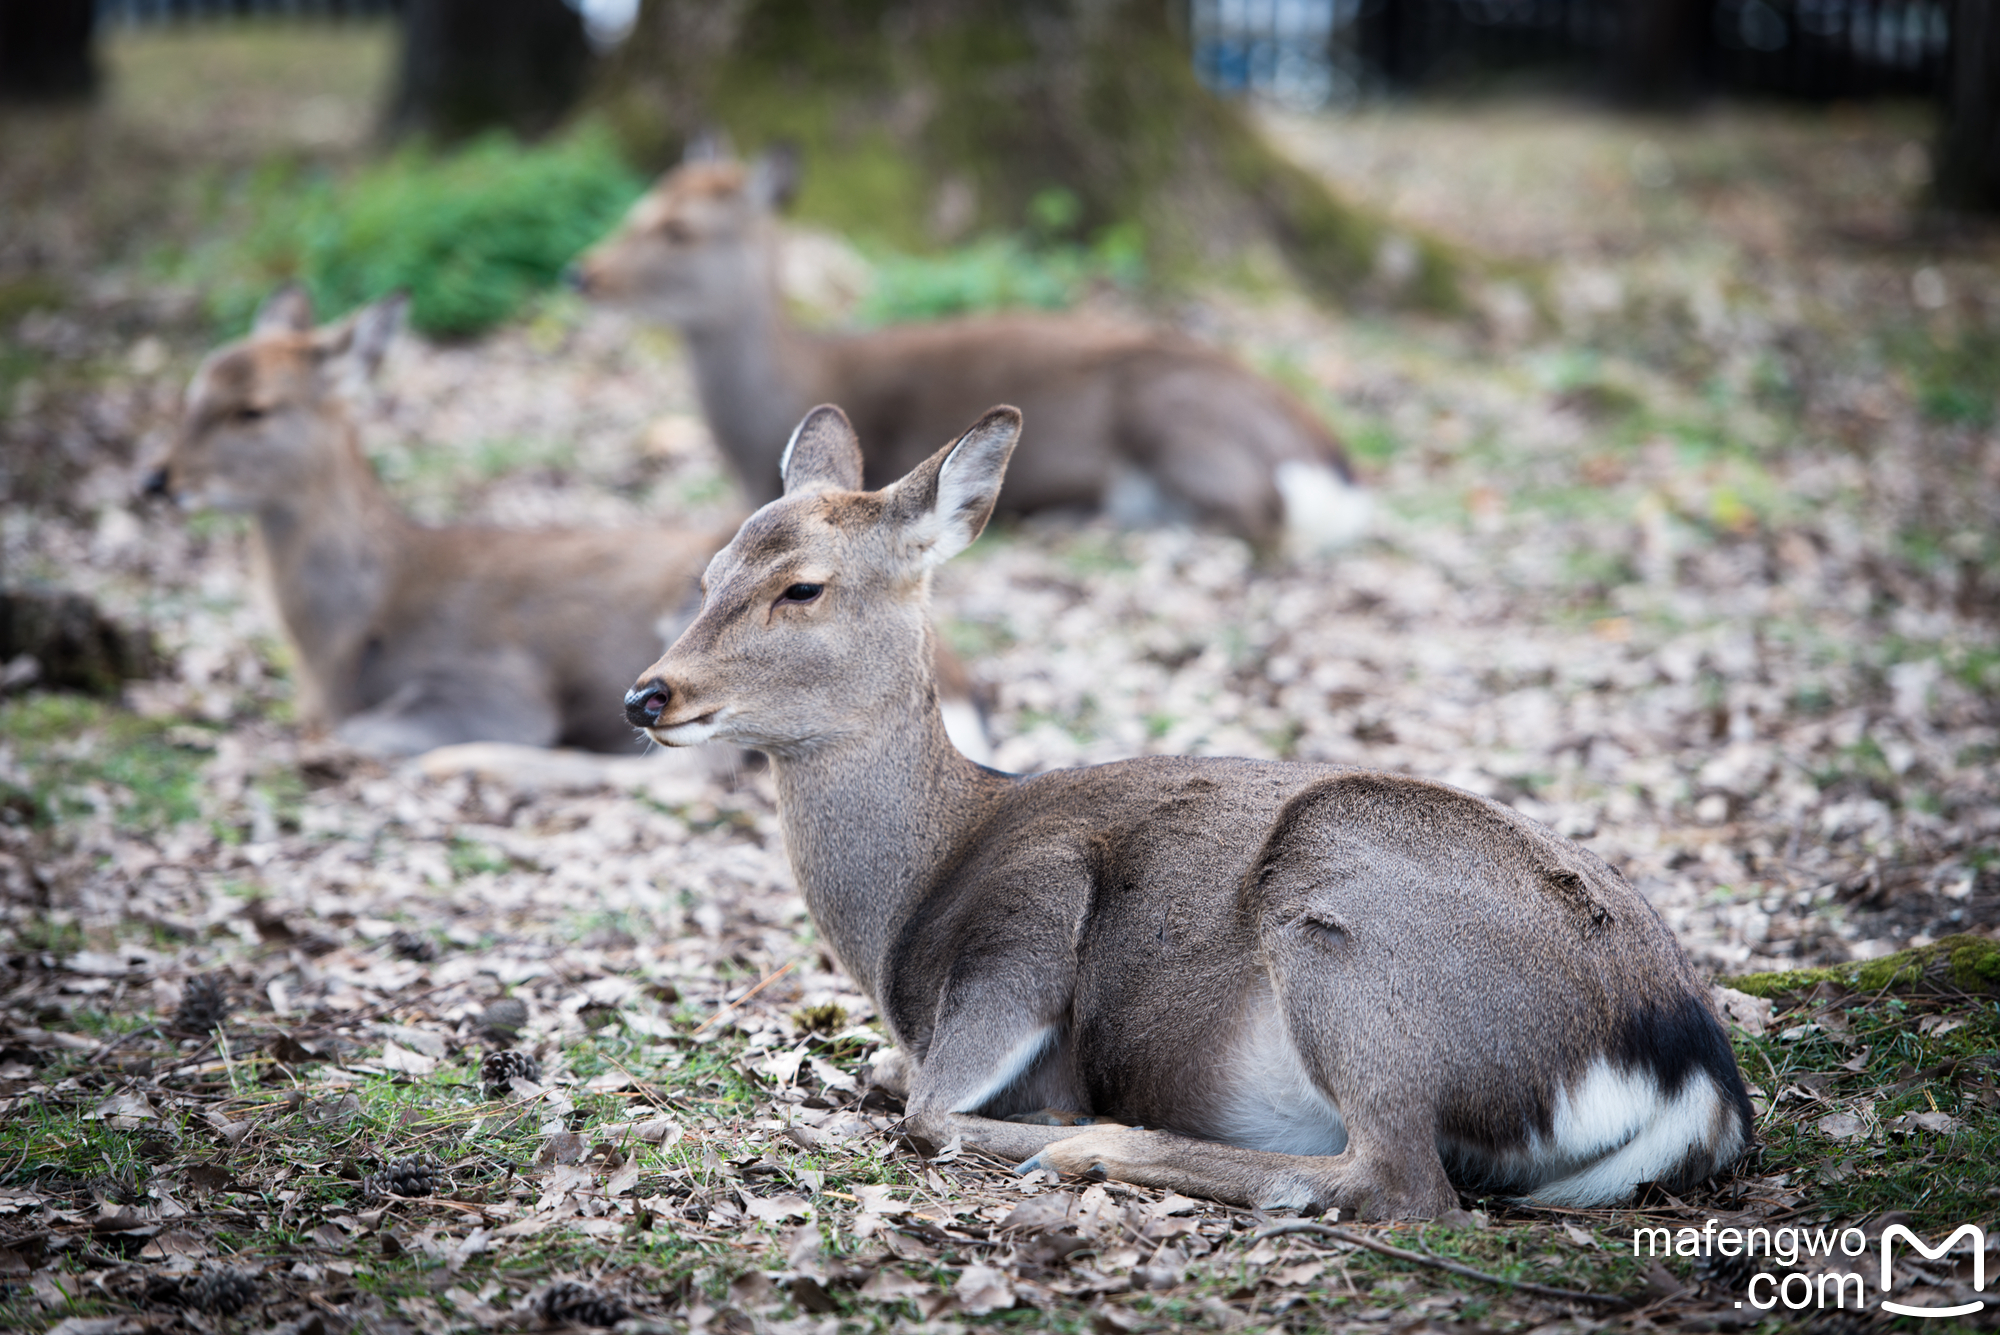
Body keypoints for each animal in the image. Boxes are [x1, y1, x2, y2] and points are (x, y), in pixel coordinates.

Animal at [141, 285, 992, 755]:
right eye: (191, 390)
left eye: (253, 408)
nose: (156, 479)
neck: (349, 639)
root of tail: (962, 680)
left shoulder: (493, 681)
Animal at [572, 154, 1368, 559]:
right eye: (637, 206)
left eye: (678, 229)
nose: (582, 273)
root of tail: (1334, 464)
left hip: (1175, 417)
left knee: (1254, 519)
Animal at [620, 403, 1752, 1223]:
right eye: (712, 572)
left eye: (802, 588)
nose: (647, 694)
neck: (908, 897)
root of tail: (1689, 1071)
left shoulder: (1026, 921)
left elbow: (926, 1108)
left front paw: (1036, 1113)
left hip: (1350, 917)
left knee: (1399, 1181)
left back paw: (1087, 1144)